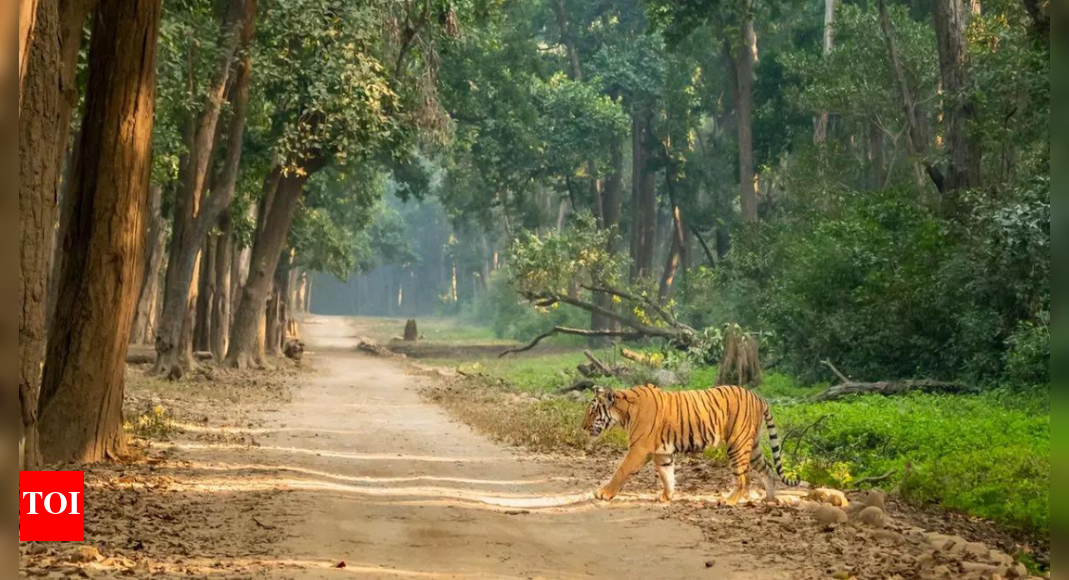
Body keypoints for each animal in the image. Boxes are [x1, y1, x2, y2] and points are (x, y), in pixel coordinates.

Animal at [582, 384, 801, 505]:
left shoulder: (639, 449)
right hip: (753, 445)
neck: (624, 413)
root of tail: (759, 397)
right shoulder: (662, 453)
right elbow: (667, 476)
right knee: (768, 469)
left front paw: (603, 493)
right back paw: (769, 499)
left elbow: (621, 471)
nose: (582, 427)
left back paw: (729, 501)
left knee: (743, 478)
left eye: (592, 411)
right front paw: (666, 497)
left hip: (737, 444)